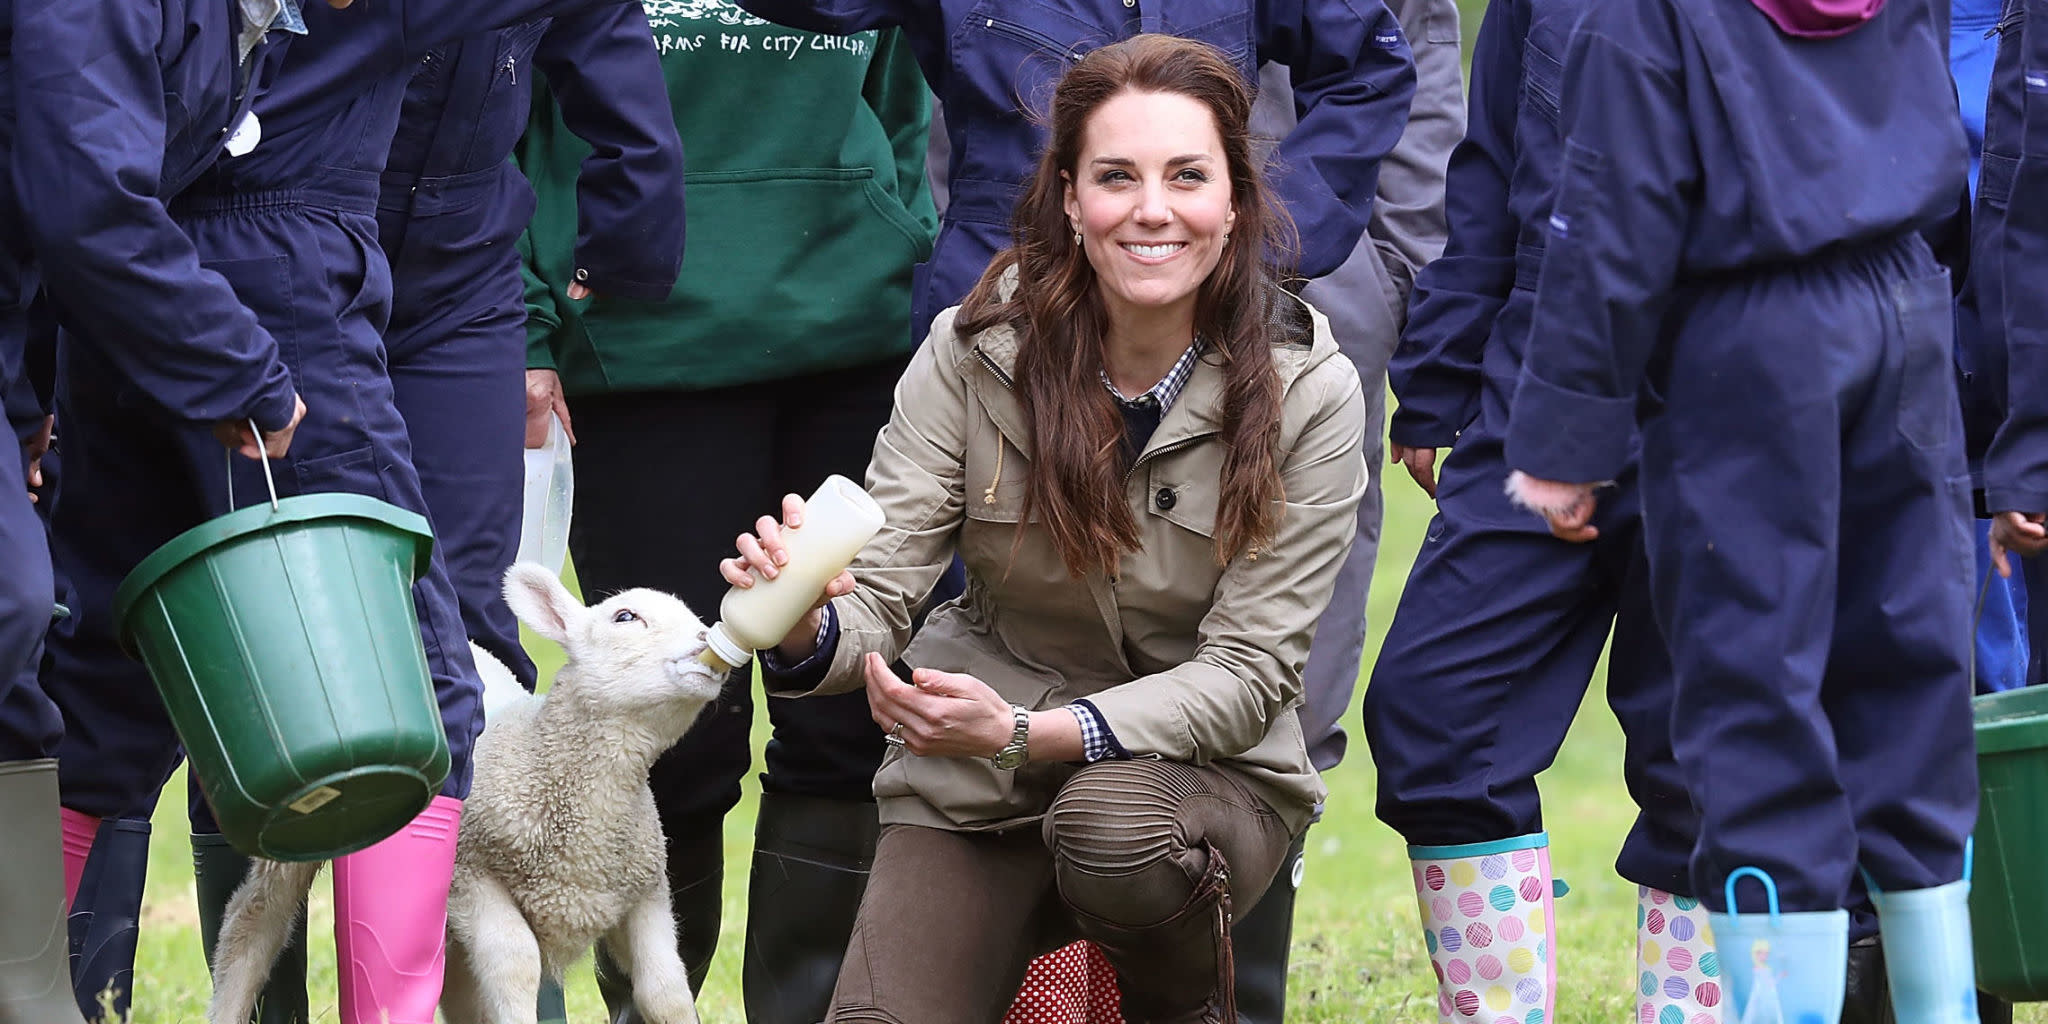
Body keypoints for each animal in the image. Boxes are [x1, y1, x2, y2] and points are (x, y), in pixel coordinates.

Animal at [203, 565, 724, 1019]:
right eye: (625, 617)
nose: (706, 640)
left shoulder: (644, 893)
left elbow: (666, 991)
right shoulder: (470, 875)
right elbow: (516, 962)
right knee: (254, 921)